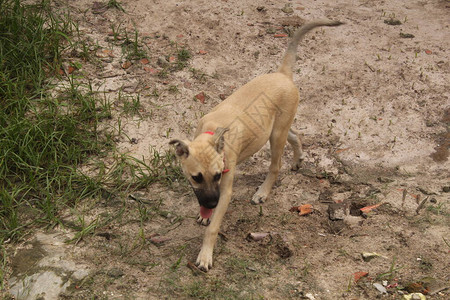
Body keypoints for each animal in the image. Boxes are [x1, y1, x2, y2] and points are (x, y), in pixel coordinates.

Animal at [171, 19, 342, 270]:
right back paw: (298, 159)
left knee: (276, 165)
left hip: (276, 136)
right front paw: (204, 215)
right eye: (196, 177)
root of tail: (283, 74)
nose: (211, 204)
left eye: (218, 175)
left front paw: (205, 255)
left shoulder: (225, 190)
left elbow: (213, 228)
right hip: (278, 128)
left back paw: (263, 191)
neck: (211, 132)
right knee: (296, 134)